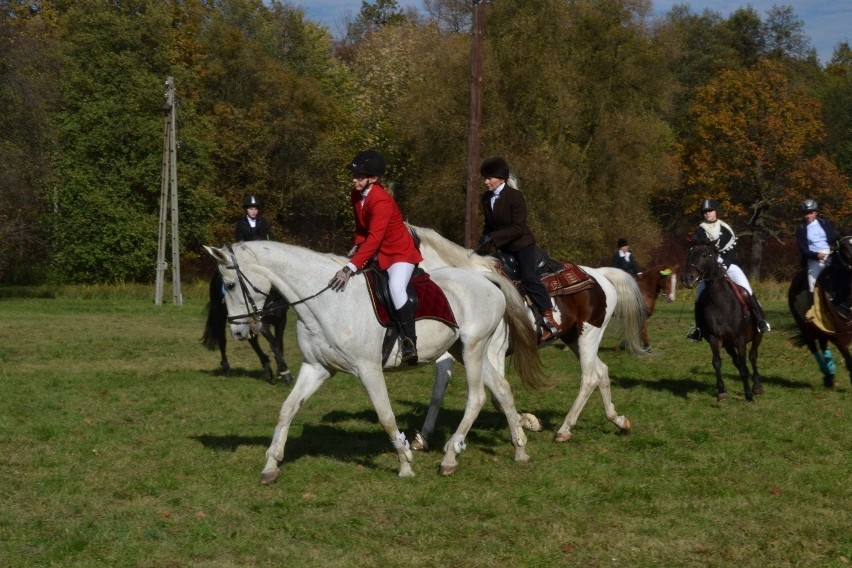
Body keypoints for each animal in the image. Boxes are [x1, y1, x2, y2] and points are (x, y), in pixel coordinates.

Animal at [205, 241, 544, 484]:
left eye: (231, 285)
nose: (238, 332)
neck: (326, 301)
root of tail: (483, 277)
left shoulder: (368, 370)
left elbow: (385, 415)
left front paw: (405, 463)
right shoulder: (316, 368)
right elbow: (287, 409)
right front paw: (271, 464)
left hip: (473, 349)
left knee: (477, 397)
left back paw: (450, 457)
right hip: (467, 350)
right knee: (502, 389)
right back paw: (520, 448)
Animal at [406, 224, 644, 446]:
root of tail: (599, 274)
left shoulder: (494, 351)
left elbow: (498, 395)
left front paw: (528, 422)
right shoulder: (453, 352)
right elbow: (438, 392)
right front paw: (423, 436)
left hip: (589, 335)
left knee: (590, 378)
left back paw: (564, 429)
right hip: (573, 338)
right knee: (602, 371)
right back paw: (619, 421)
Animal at [680, 242, 764, 402]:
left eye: (706, 255)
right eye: (690, 254)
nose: (687, 278)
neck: (720, 302)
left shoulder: (740, 339)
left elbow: (744, 365)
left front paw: (748, 394)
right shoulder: (715, 338)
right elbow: (717, 362)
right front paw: (721, 392)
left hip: (757, 336)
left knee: (753, 357)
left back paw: (756, 386)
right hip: (728, 344)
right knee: (737, 360)